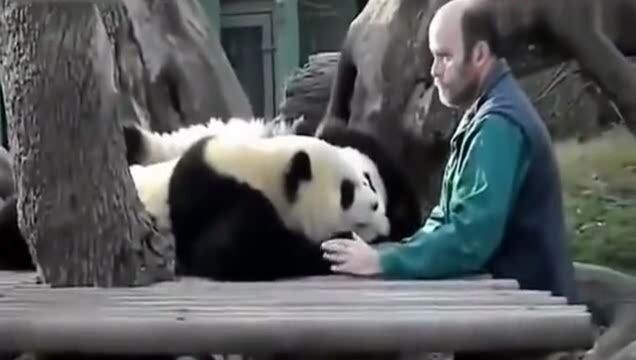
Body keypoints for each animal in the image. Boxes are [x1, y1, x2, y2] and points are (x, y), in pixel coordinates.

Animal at [132, 135, 390, 282]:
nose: (375, 203)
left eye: (366, 180)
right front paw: (337, 246)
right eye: (347, 191)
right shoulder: (221, 197)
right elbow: (236, 252)